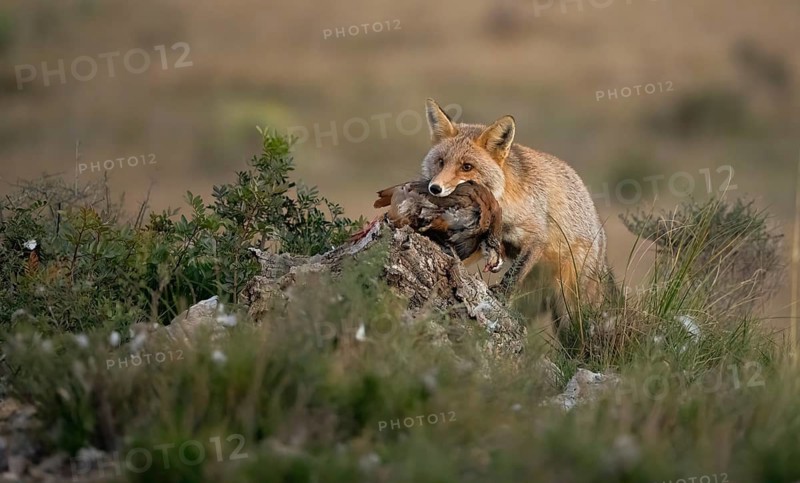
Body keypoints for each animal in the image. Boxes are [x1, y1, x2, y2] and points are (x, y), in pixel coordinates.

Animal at [421, 98, 612, 333]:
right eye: (440, 162)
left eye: (467, 167)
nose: (434, 188)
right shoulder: (482, 240)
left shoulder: (537, 238)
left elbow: (514, 274)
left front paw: (501, 296)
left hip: (570, 306)